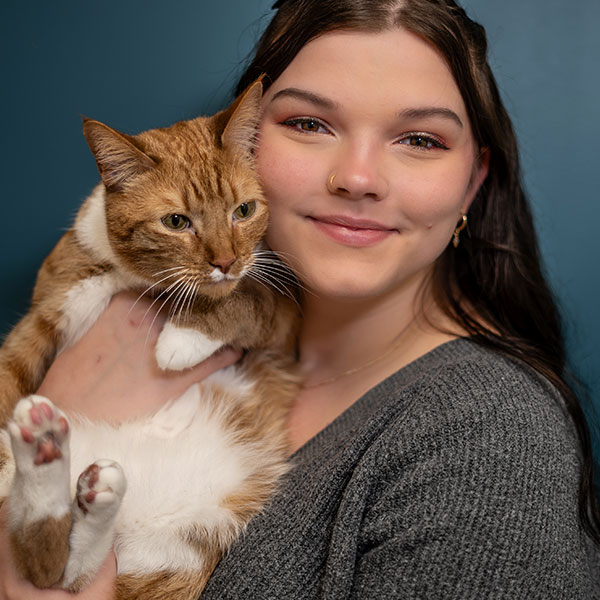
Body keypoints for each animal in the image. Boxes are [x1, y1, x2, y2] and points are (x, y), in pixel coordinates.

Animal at [0, 81, 300, 600]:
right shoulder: (48, 312)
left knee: (66, 570)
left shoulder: (284, 312)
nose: (226, 262)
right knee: (48, 568)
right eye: (176, 222)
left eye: (243, 211)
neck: (136, 280)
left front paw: (181, 339)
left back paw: (67, 470)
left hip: (178, 545)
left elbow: (242, 301)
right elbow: (10, 371)